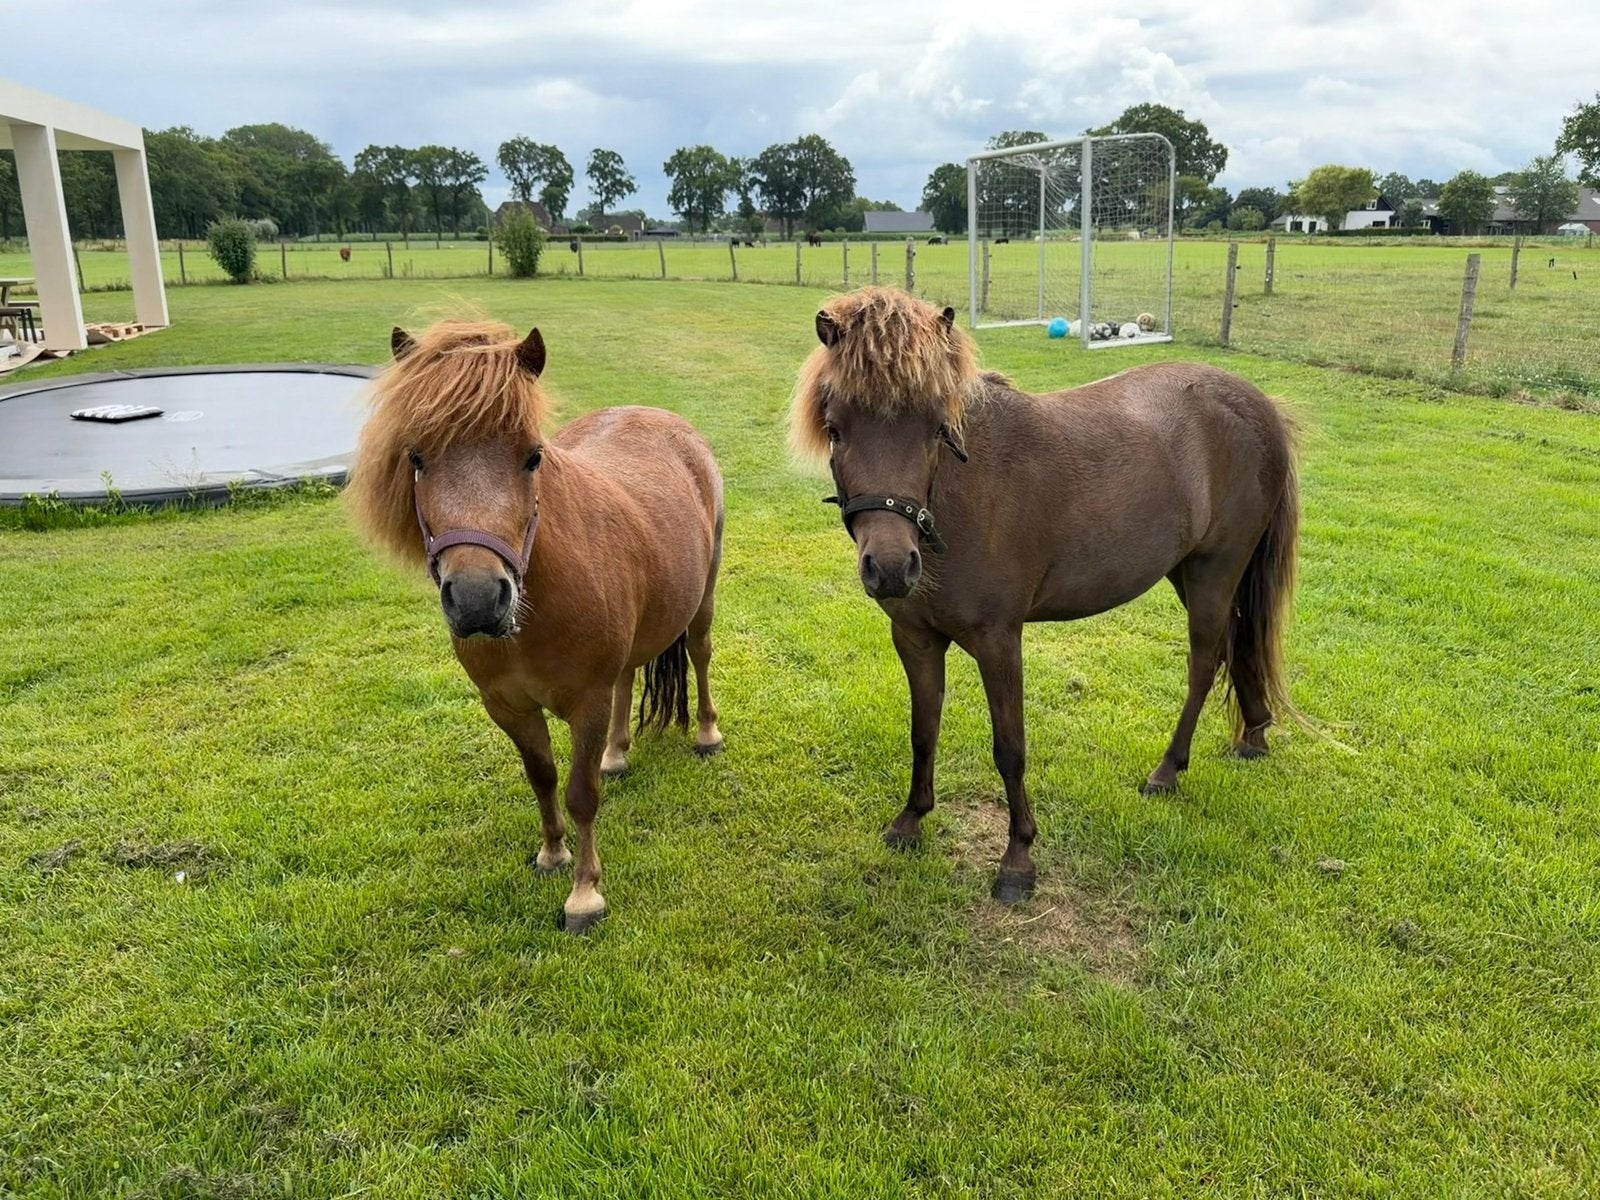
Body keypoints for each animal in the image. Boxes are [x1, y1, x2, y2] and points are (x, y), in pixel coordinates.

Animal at [348, 317, 726, 932]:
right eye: (417, 458)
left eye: (532, 457)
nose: (478, 600)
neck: (534, 613)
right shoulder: (508, 707)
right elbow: (543, 777)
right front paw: (553, 853)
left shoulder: (587, 702)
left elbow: (580, 794)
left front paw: (585, 895)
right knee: (629, 678)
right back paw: (617, 753)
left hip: (703, 601)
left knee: (699, 653)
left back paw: (707, 735)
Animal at [791, 288, 1299, 903]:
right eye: (835, 429)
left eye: (936, 428)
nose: (890, 568)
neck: (956, 495)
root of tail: (1258, 404)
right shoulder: (914, 638)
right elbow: (922, 731)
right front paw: (911, 820)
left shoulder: (998, 641)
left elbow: (1010, 748)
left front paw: (1018, 859)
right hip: (1191, 573)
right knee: (1240, 645)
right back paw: (1254, 735)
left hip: (1213, 573)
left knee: (1206, 663)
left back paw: (1167, 771)